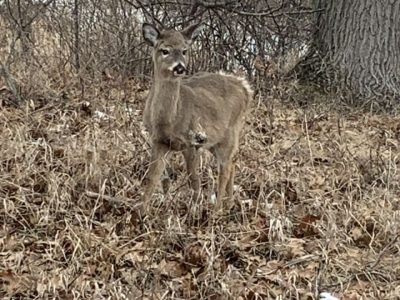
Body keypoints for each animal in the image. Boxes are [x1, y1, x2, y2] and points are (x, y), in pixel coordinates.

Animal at [142, 21, 252, 211]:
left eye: (185, 50)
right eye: (165, 50)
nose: (180, 68)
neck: (169, 119)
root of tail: (244, 87)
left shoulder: (191, 142)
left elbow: (194, 181)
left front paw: (193, 211)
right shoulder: (159, 141)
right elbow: (154, 178)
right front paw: (141, 210)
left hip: (230, 134)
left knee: (225, 170)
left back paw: (217, 211)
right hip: (214, 142)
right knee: (232, 164)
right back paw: (229, 204)